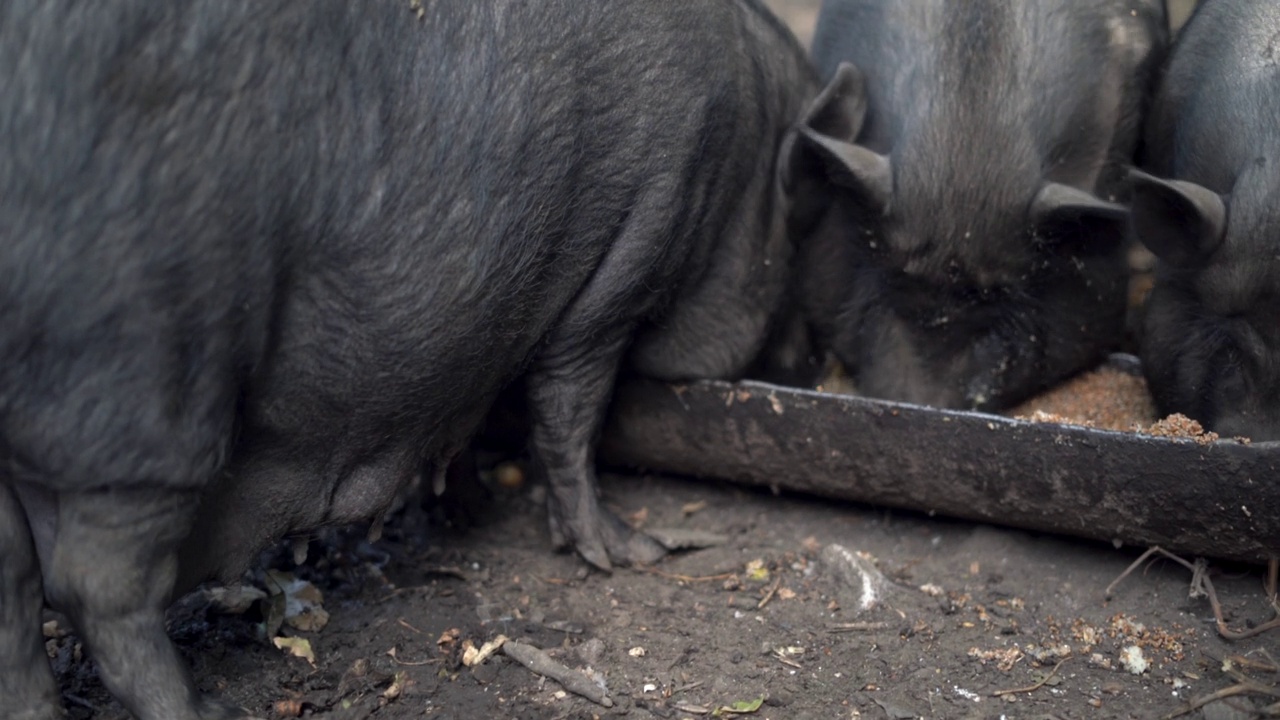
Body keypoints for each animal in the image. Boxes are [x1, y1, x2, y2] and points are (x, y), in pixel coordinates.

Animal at [0, 2, 819, 712]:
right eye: (803, 239)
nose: (811, 365)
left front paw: (471, 511)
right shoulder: (633, 257)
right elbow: (570, 410)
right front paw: (628, 556)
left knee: (14, 585)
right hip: (141, 390)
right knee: (96, 587)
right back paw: (206, 711)